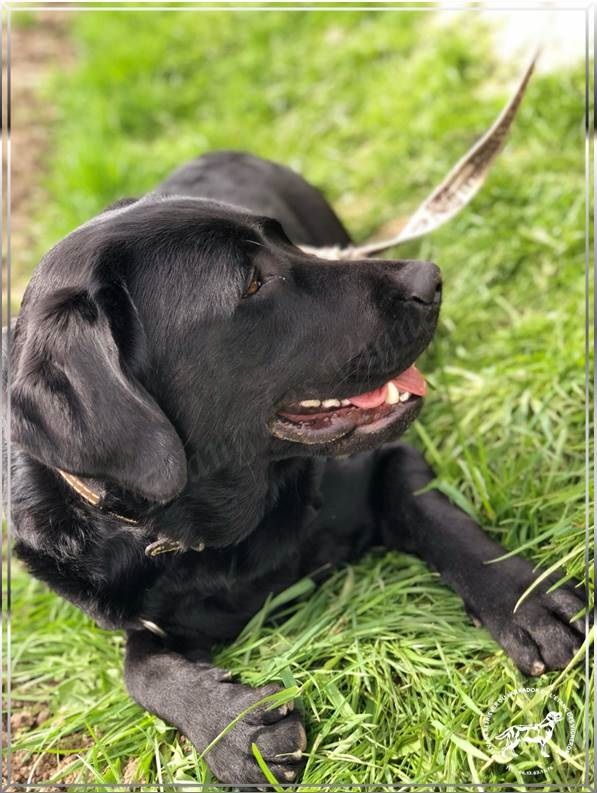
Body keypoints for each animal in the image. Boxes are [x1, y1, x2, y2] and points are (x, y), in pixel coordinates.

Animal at [9, 152, 584, 784]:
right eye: (253, 282)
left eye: (287, 246)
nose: (430, 279)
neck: (226, 530)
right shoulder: (146, 618)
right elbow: (139, 671)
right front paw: (235, 731)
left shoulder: (384, 461)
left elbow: (444, 521)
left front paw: (526, 601)